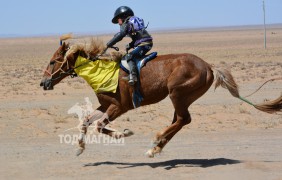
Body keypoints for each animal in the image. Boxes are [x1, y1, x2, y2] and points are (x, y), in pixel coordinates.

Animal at [40, 38, 282, 158]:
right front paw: (79, 148)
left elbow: (99, 126)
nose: (43, 83)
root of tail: (209, 67)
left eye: (52, 61)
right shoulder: (105, 104)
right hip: (182, 98)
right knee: (180, 120)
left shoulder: (119, 107)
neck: (102, 72)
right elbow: (85, 122)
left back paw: (156, 142)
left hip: (177, 93)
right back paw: (155, 148)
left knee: (183, 119)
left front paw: (124, 133)